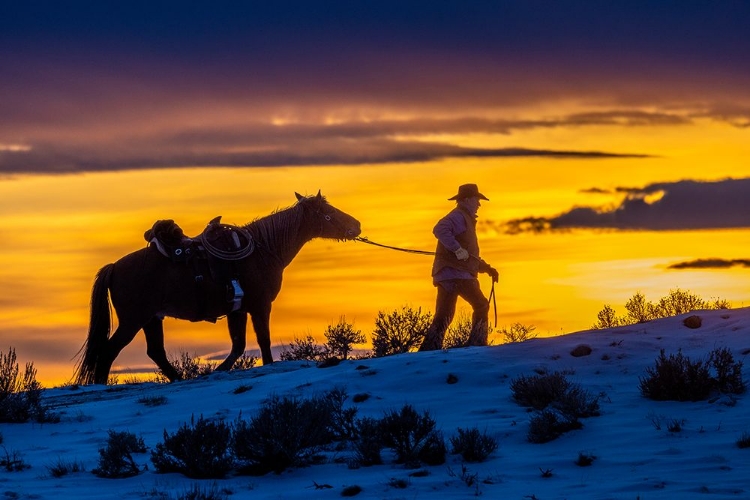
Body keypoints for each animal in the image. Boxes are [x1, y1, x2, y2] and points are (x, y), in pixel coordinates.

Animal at [75, 190, 362, 382]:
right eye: (329, 213)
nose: (356, 225)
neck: (262, 250)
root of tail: (114, 267)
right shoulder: (260, 306)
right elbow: (263, 342)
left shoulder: (238, 310)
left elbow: (238, 345)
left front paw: (219, 370)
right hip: (133, 320)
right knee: (109, 351)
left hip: (151, 319)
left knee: (155, 352)